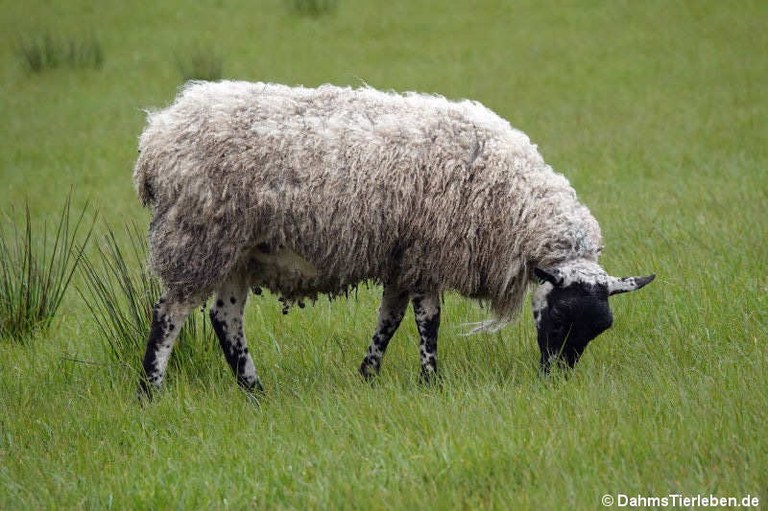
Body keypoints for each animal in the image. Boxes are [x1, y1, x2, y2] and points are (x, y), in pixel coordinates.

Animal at [132, 80, 656, 396]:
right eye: (561, 318)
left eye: (598, 329)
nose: (555, 378)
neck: (512, 202)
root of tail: (156, 137)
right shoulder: (426, 253)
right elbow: (429, 321)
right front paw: (431, 380)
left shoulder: (401, 258)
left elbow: (390, 319)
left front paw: (369, 374)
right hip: (197, 239)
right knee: (169, 315)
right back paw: (151, 392)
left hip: (236, 252)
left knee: (226, 319)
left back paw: (254, 391)